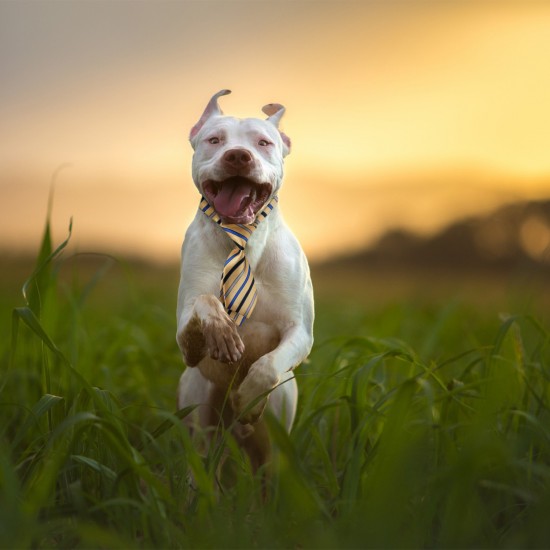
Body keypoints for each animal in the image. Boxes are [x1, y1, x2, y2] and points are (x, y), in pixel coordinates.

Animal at [177, 89, 314, 470]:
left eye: (263, 142)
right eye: (214, 140)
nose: (238, 155)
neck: (244, 240)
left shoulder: (301, 332)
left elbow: (267, 365)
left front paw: (249, 396)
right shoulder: (183, 332)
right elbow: (205, 302)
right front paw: (222, 332)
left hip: (277, 432)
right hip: (198, 411)